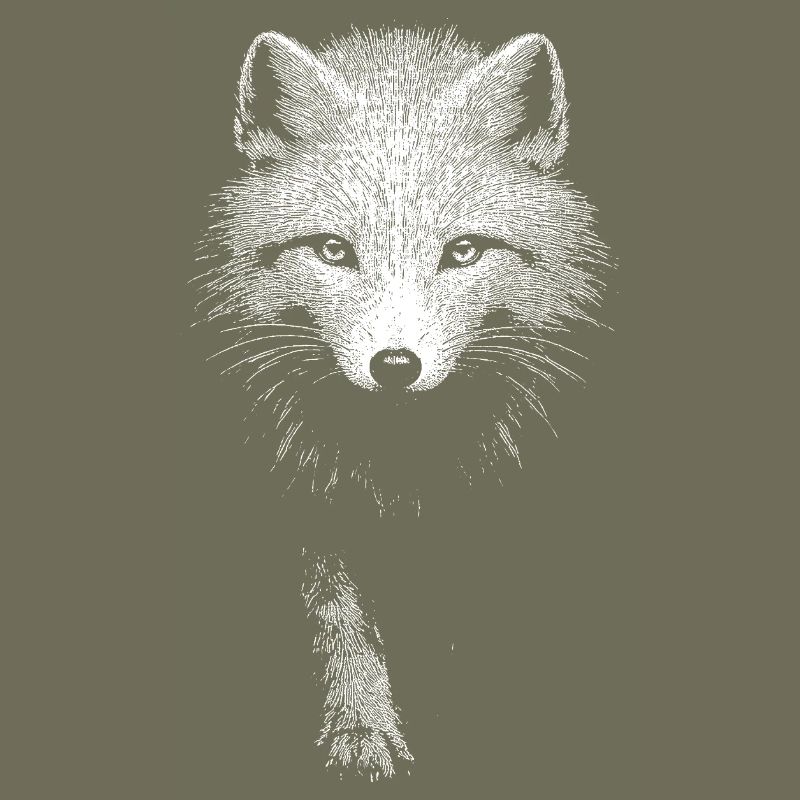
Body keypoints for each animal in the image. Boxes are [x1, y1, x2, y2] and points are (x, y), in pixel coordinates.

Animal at [193, 27, 612, 781]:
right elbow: (340, 625)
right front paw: (362, 727)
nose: (394, 366)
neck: (399, 476)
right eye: (333, 250)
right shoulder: (301, 503)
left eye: (464, 251)